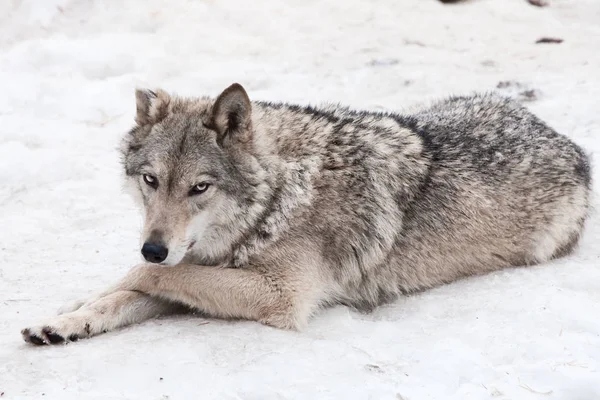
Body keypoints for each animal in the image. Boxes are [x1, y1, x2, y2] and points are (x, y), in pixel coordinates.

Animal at [21, 82, 588, 344]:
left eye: (199, 187)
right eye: (150, 181)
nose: (154, 245)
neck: (277, 196)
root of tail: (562, 137)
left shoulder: (280, 297)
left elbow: (147, 276)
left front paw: (89, 298)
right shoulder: (197, 265)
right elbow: (132, 287)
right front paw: (67, 318)